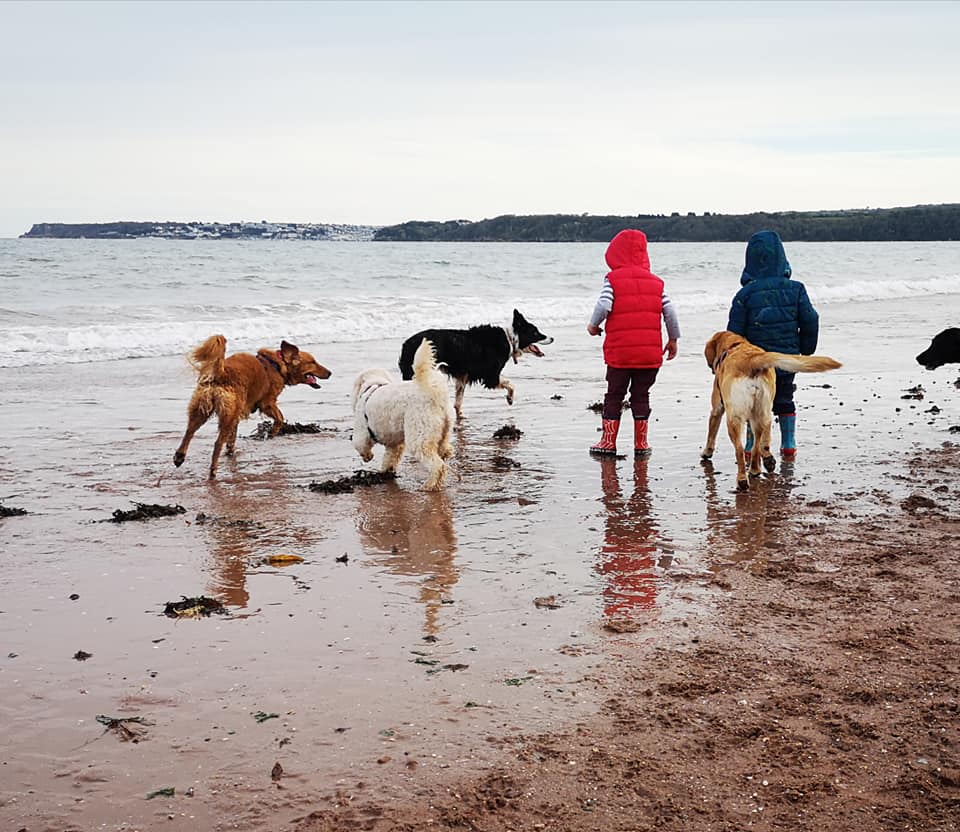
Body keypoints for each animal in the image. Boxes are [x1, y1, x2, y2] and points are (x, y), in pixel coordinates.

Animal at [174, 334, 332, 478]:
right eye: (313, 362)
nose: (330, 373)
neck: (277, 365)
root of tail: (221, 372)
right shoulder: (267, 403)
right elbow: (280, 417)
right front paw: (273, 432)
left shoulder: (239, 413)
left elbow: (232, 437)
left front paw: (231, 451)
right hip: (228, 413)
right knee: (217, 443)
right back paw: (212, 470)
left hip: (202, 409)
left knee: (189, 432)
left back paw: (179, 456)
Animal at [350, 338, 456, 490]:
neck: (373, 385)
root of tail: (433, 393)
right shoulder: (394, 444)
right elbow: (390, 457)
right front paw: (386, 471)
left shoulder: (361, 431)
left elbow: (360, 444)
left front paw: (367, 456)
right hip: (443, 432)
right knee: (445, 452)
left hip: (420, 436)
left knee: (437, 465)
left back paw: (429, 485)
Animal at [400, 308, 556, 416]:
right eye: (535, 333)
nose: (552, 338)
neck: (510, 339)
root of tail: (406, 344)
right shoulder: (490, 376)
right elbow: (510, 384)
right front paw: (510, 399)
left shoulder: (462, 376)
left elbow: (458, 402)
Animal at [696, 330, 840, 490]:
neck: (735, 345)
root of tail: (751, 361)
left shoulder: (717, 409)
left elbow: (711, 433)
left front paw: (706, 452)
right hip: (763, 411)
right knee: (757, 444)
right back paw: (757, 468)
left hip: (734, 418)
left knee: (739, 450)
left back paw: (742, 479)